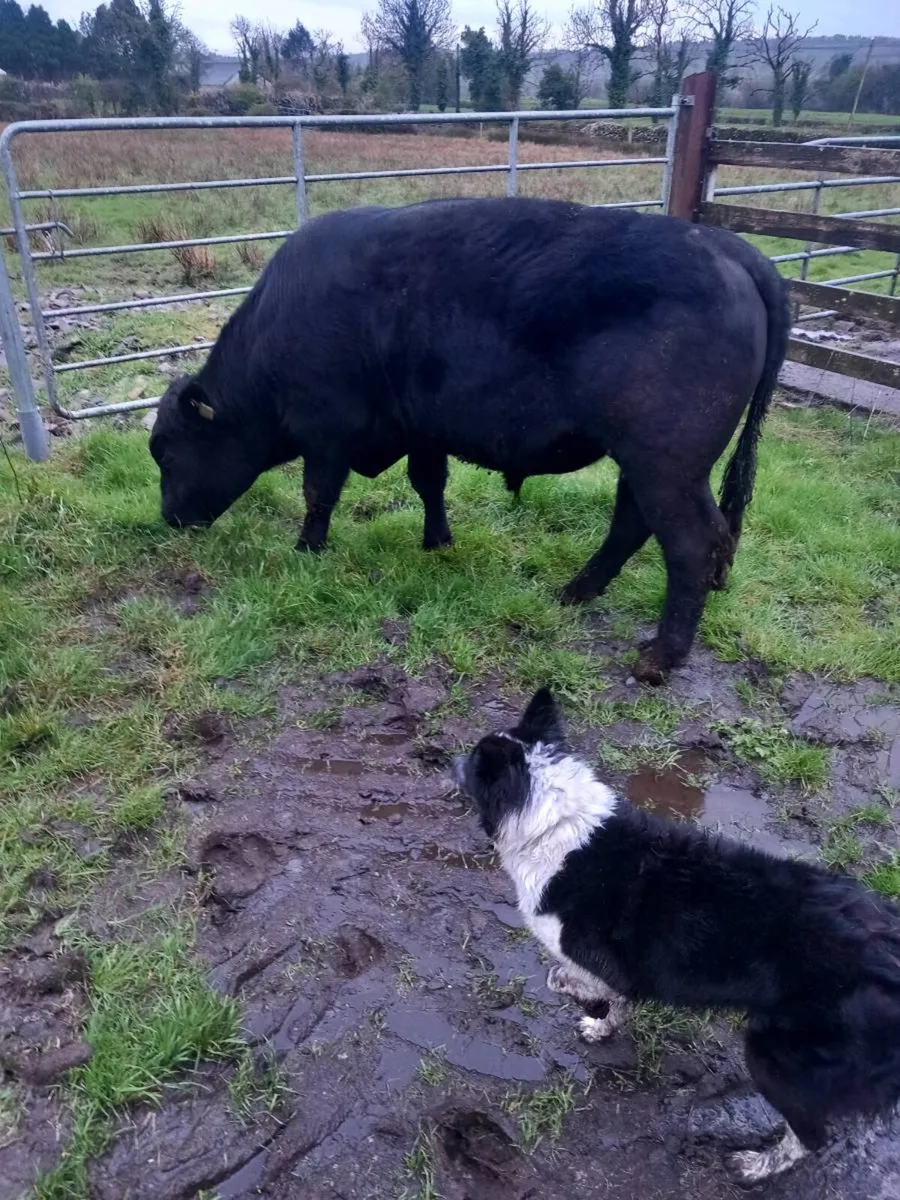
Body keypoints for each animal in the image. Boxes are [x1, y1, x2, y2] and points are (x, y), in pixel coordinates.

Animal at [149, 197, 790, 683]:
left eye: (168, 452)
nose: (170, 519)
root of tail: (731, 248)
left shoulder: (326, 432)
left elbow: (318, 494)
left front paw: (307, 551)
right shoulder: (422, 428)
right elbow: (428, 483)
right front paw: (437, 541)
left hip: (667, 465)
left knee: (689, 544)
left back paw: (659, 657)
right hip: (645, 461)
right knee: (633, 523)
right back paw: (576, 592)